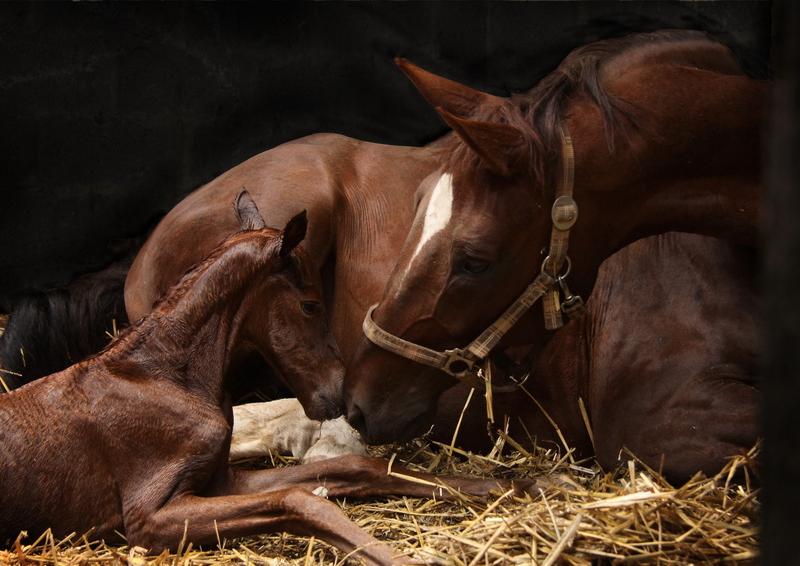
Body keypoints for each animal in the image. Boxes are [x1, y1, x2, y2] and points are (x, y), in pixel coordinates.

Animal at [3, 193, 536, 564]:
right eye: (311, 304)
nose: (338, 394)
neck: (163, 374)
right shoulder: (149, 517)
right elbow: (304, 499)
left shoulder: (218, 480)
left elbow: (355, 470)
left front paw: (514, 485)